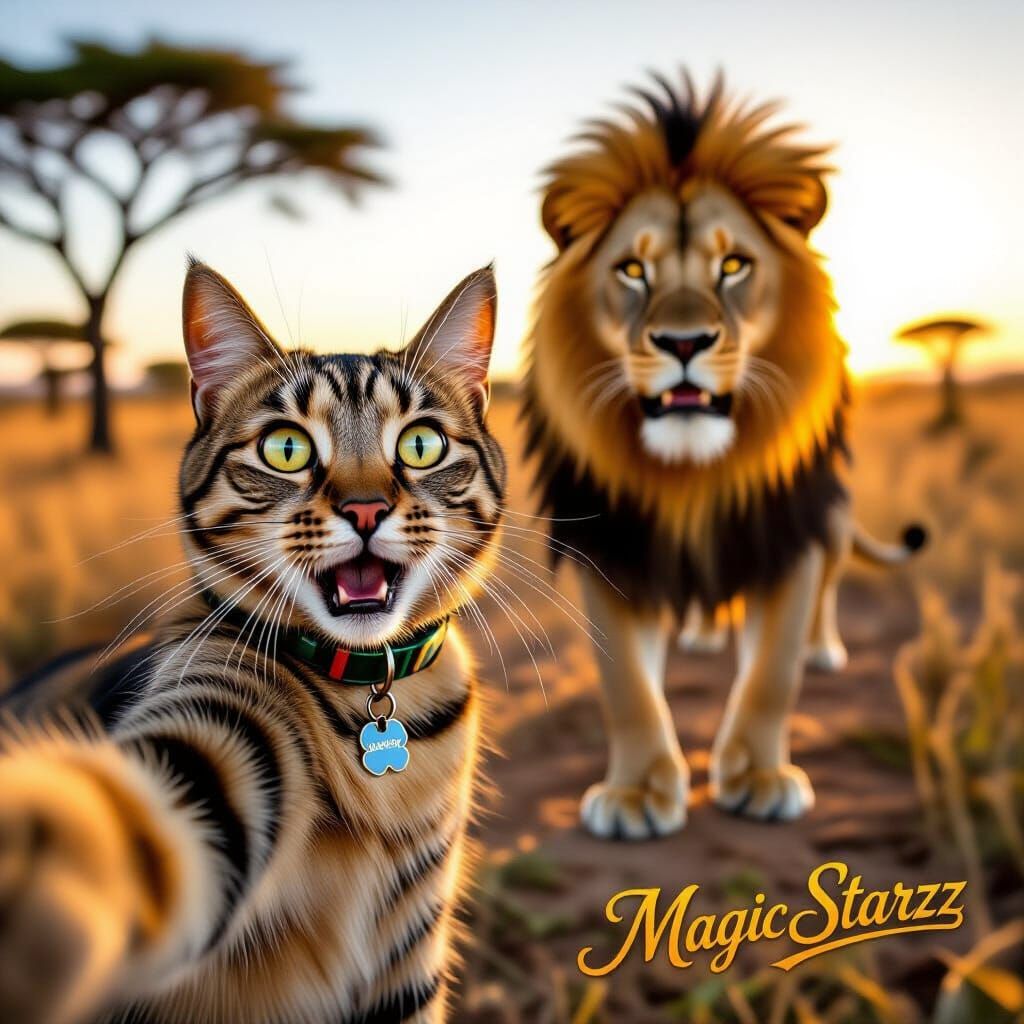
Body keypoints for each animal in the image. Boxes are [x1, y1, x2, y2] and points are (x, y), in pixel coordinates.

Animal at [522, 72, 924, 840]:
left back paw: (823, 649)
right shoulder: (614, 549)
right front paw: (636, 792)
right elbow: (626, 684)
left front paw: (760, 779)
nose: (684, 344)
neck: (693, 477)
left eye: (734, 265)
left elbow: (773, 671)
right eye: (632, 271)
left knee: (828, 595)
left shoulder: (788, 537)